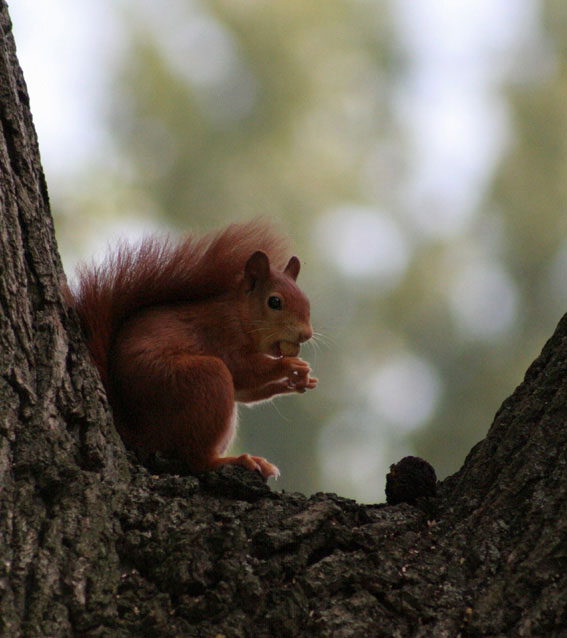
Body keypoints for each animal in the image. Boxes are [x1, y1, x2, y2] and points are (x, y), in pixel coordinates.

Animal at [68, 221, 318, 480]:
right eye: (274, 302)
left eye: (307, 302)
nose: (306, 334)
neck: (240, 314)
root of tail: (134, 429)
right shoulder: (221, 335)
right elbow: (244, 369)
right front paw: (289, 366)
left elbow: (244, 391)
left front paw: (297, 382)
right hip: (199, 380)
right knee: (197, 460)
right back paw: (237, 460)